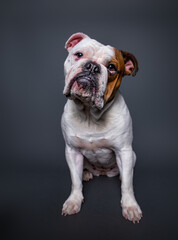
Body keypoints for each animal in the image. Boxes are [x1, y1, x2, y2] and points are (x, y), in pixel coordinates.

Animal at [60, 32, 143, 223]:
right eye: (79, 55)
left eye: (111, 67)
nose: (92, 67)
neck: (91, 115)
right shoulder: (72, 151)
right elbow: (75, 181)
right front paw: (74, 201)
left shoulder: (124, 151)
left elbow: (127, 185)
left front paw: (130, 206)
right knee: (82, 171)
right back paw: (85, 173)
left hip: (132, 156)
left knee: (125, 175)